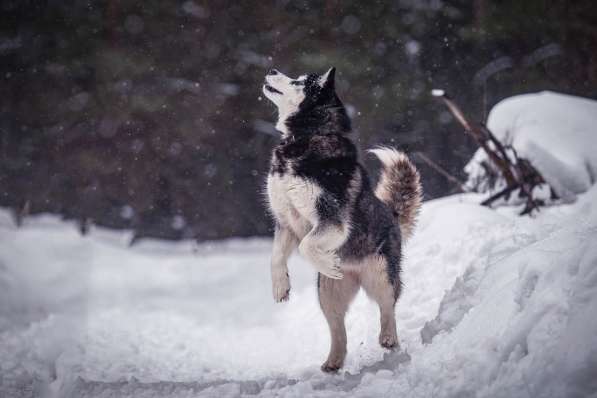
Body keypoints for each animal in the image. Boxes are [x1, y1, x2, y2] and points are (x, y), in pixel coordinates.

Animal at [264, 67, 422, 372]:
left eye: (298, 81)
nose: (273, 70)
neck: (305, 137)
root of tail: (392, 214)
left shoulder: (331, 220)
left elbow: (307, 246)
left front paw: (326, 262)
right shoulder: (286, 223)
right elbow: (276, 256)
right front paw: (280, 286)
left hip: (381, 275)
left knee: (388, 307)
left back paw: (388, 337)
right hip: (327, 294)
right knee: (338, 329)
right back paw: (333, 361)